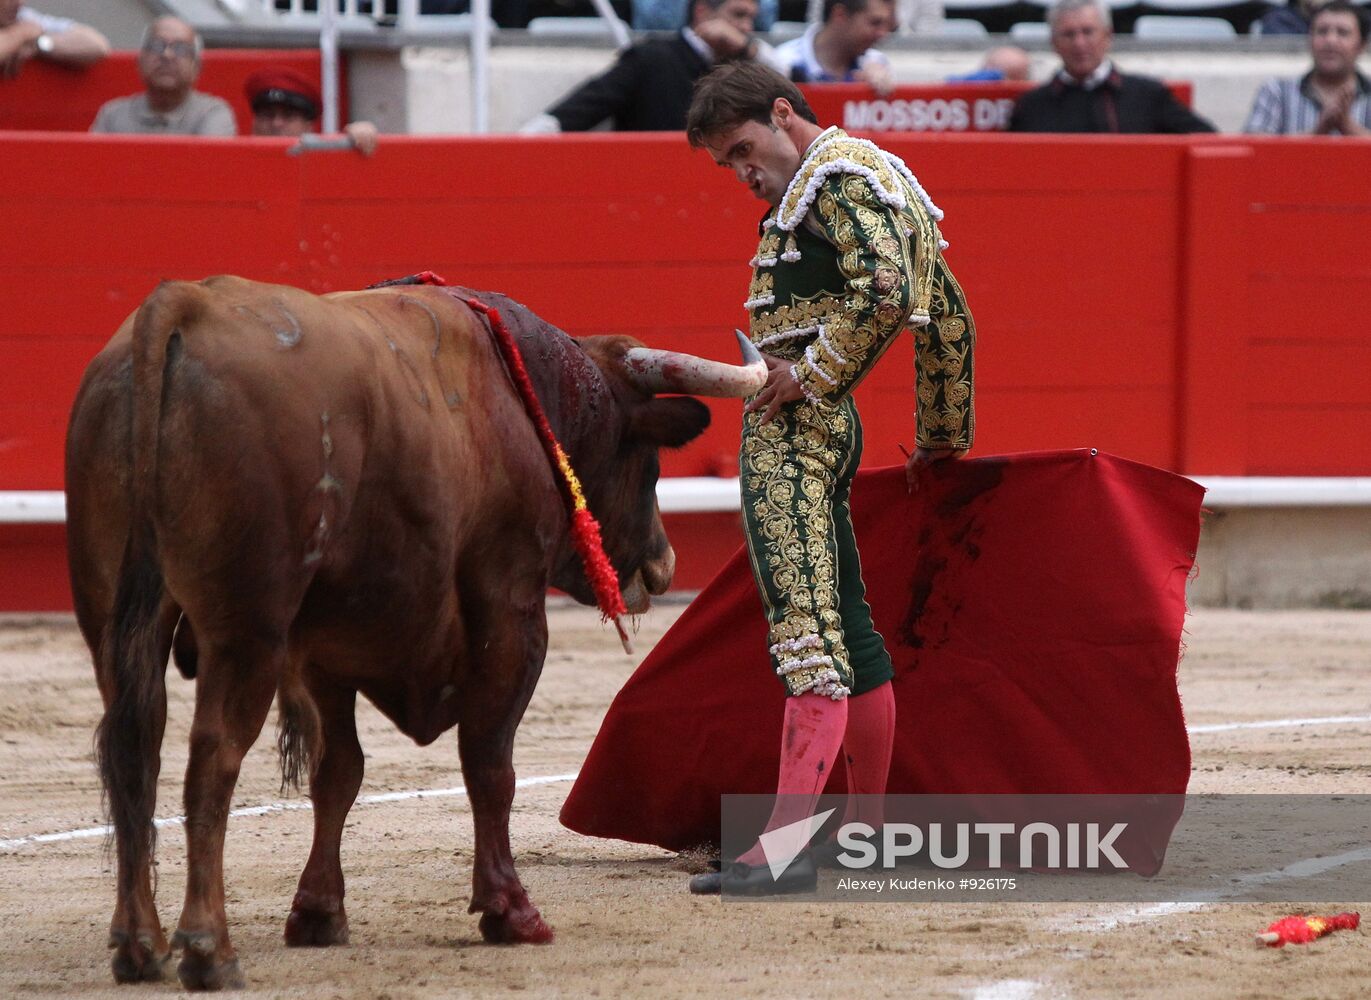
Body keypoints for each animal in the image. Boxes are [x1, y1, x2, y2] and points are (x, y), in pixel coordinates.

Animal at [66, 274, 762, 993]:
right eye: (648, 461)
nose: (663, 564)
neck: (520, 397)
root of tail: (181, 306)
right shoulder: (510, 610)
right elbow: (489, 763)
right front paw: (510, 910)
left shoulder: (324, 649)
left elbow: (338, 770)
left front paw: (318, 913)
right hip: (247, 629)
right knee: (212, 754)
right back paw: (208, 948)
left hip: (113, 622)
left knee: (133, 750)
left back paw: (139, 943)